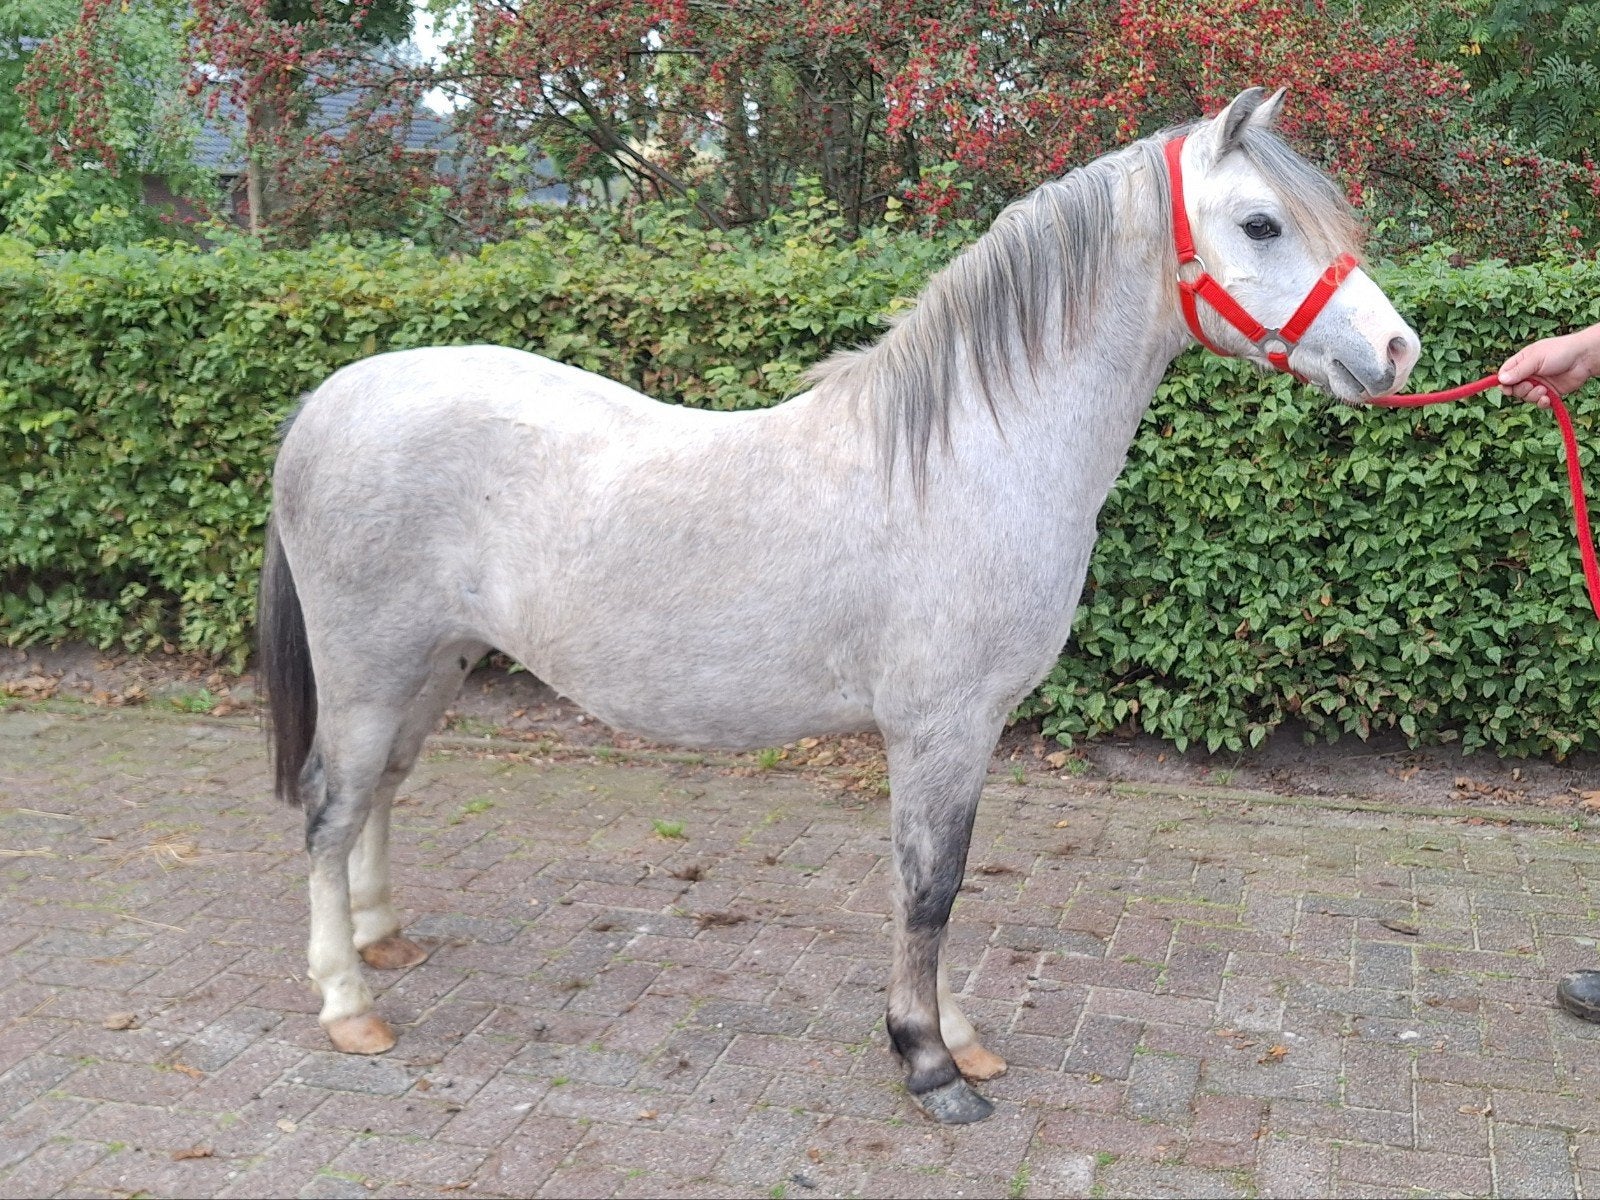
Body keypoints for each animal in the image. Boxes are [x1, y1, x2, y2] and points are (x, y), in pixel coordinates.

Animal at [258, 87, 1421, 1124]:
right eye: (1262, 222)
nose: (1398, 349)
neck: (966, 455)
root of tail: (328, 399)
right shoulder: (939, 726)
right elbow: (929, 888)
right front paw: (928, 1063)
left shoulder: (968, 730)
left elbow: (940, 887)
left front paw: (956, 1036)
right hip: (368, 667)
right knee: (329, 805)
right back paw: (348, 1002)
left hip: (434, 662)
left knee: (381, 792)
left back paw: (382, 938)